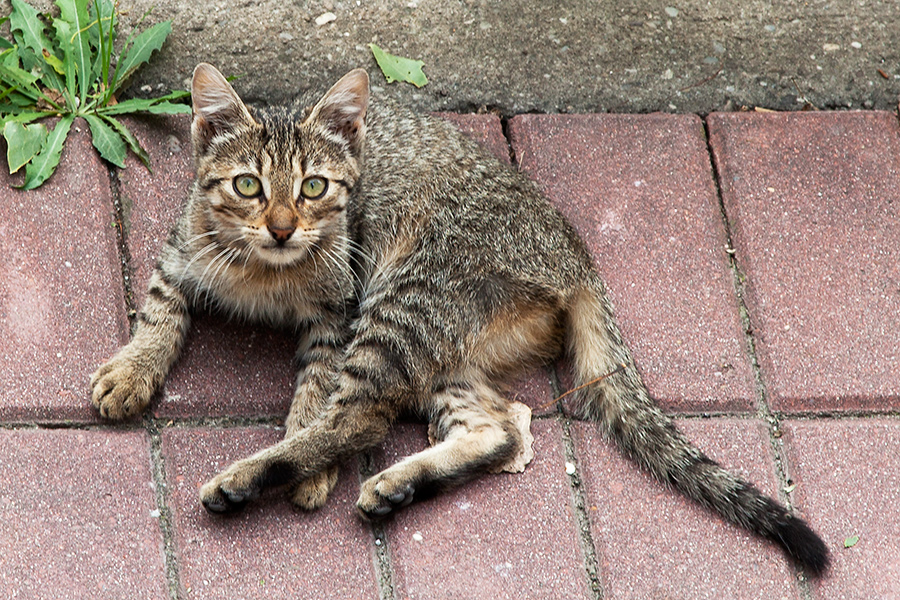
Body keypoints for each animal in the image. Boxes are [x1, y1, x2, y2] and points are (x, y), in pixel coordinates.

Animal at [91, 63, 828, 576]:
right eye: (248, 185)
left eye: (313, 188)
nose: (280, 227)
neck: (263, 273)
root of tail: (577, 254)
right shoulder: (178, 252)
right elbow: (160, 310)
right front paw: (133, 369)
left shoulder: (338, 313)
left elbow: (316, 394)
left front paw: (308, 460)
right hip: (446, 347)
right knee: (503, 429)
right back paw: (399, 483)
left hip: (405, 300)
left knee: (363, 417)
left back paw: (254, 477)